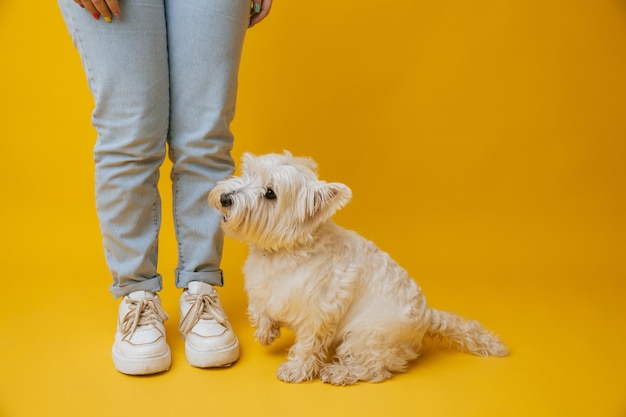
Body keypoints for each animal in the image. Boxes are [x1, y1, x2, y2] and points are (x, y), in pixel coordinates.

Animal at [210, 150, 508, 384]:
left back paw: (339, 373)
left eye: (270, 193)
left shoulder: (319, 312)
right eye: (248, 172)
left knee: (375, 368)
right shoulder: (263, 288)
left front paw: (297, 370)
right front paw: (266, 332)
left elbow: (308, 345)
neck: (283, 250)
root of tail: (427, 316)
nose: (225, 198)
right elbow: (261, 308)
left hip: (367, 335)